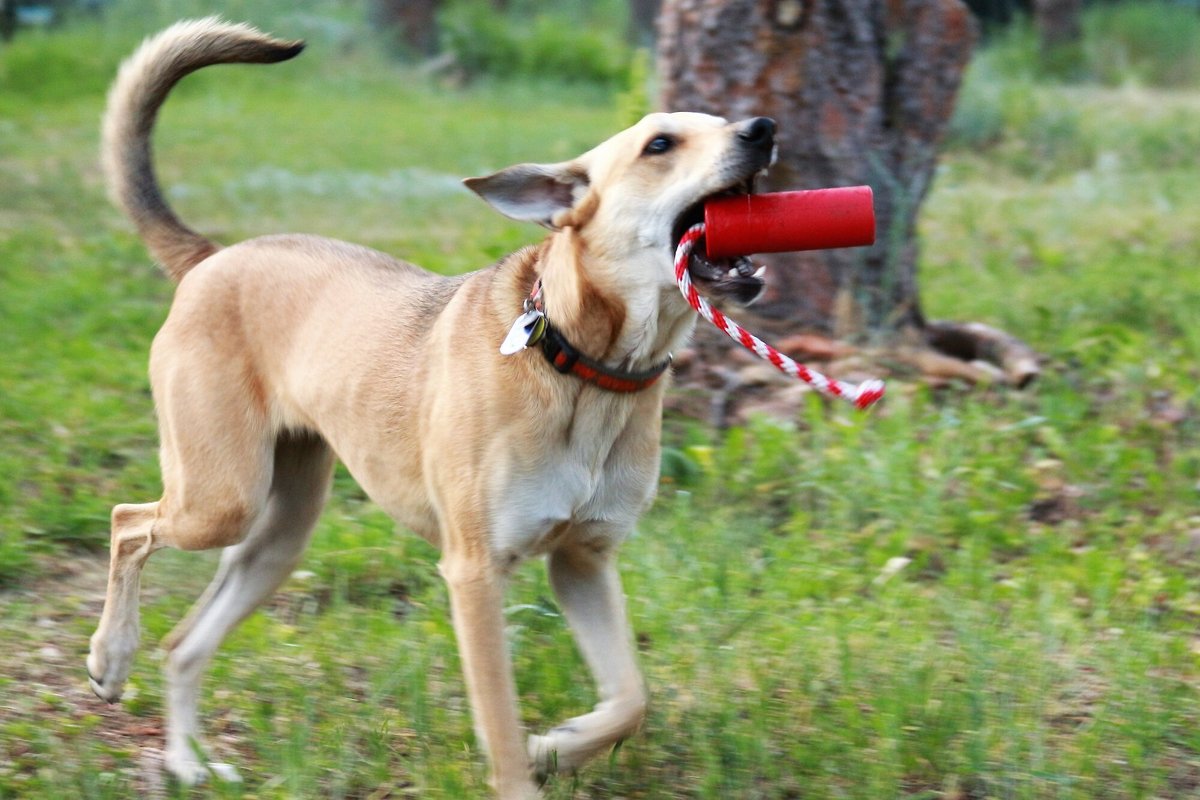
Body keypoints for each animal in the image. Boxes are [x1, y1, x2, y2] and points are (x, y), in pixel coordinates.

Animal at [87, 18, 777, 800]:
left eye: (721, 120)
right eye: (660, 144)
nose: (762, 128)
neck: (584, 369)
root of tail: (211, 258)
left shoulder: (583, 560)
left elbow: (631, 699)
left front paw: (558, 745)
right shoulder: (475, 571)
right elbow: (500, 727)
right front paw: (528, 765)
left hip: (278, 534)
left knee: (183, 643)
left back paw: (185, 760)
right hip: (220, 498)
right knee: (127, 522)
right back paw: (110, 658)